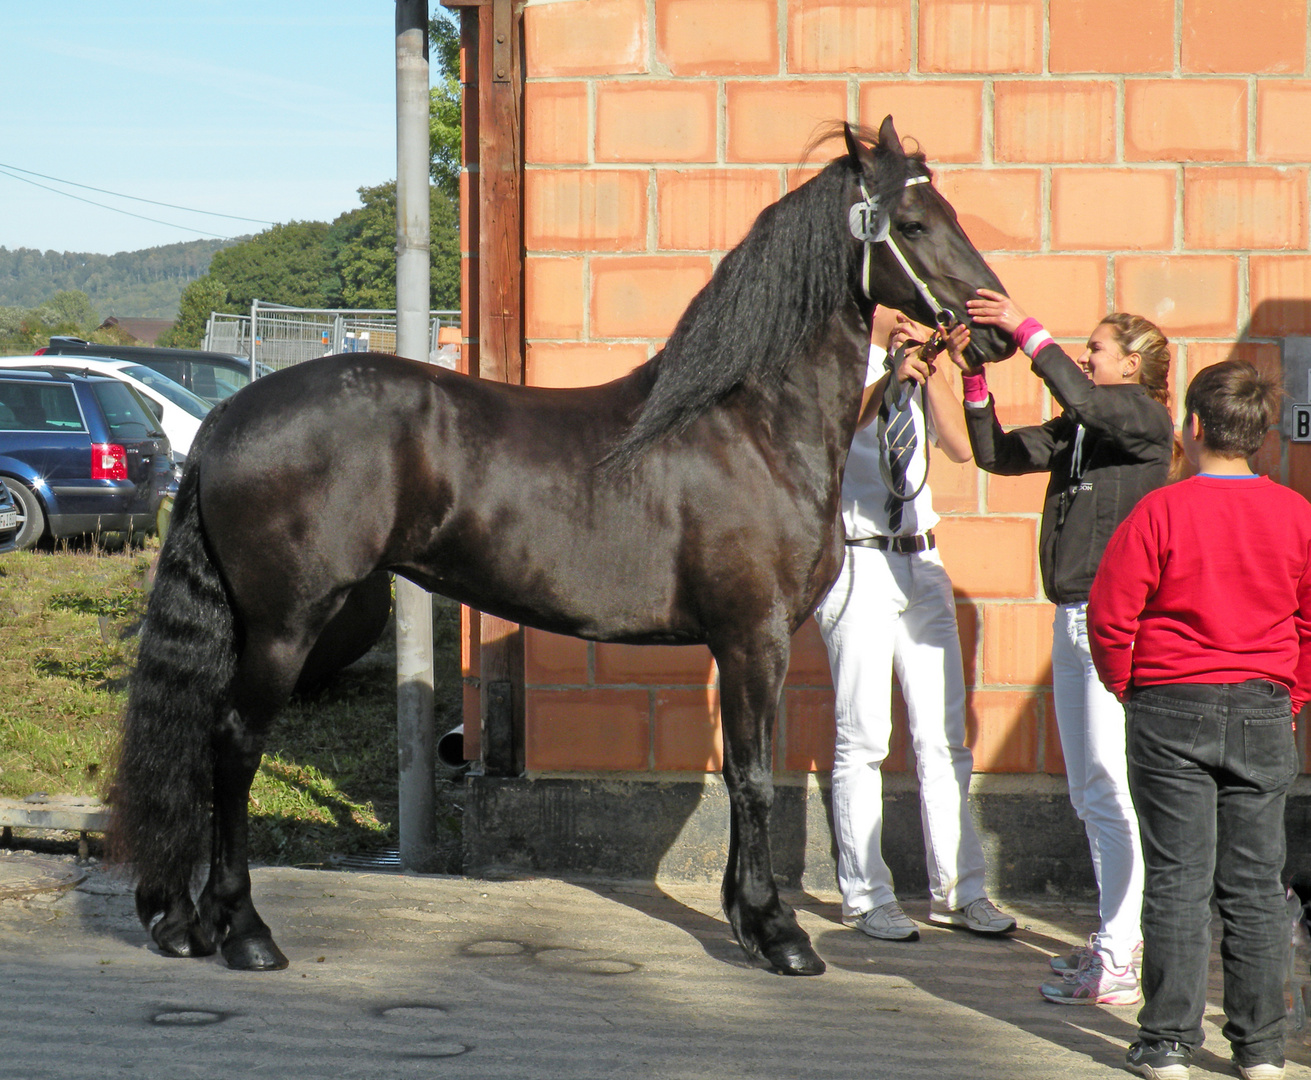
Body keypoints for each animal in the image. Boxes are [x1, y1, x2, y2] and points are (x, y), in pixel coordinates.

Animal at [112, 119, 1012, 980]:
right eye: (912, 222)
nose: (996, 331)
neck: (750, 425)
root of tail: (226, 417)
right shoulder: (753, 638)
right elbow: (753, 780)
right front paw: (776, 934)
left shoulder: (737, 644)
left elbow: (737, 774)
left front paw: (747, 918)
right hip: (284, 627)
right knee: (233, 746)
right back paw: (246, 932)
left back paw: (189, 924)